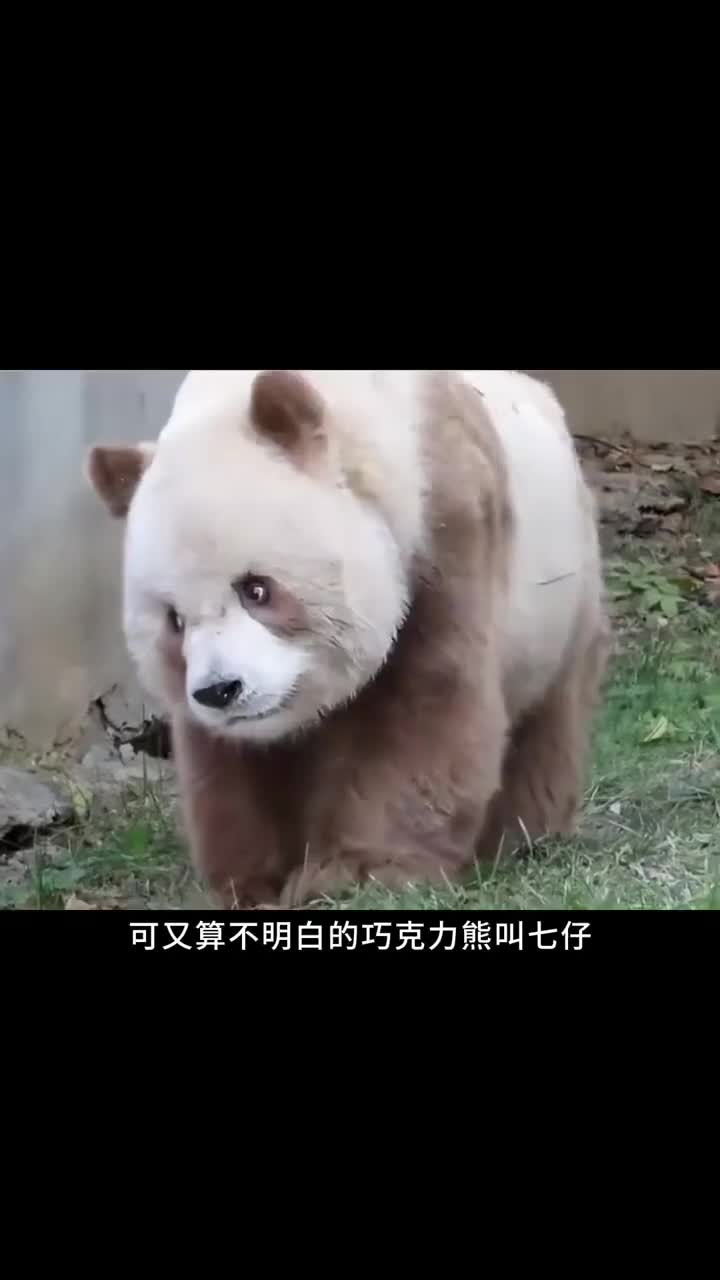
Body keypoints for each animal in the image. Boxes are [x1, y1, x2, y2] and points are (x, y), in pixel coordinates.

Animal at [87, 369, 609, 908]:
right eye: (174, 619)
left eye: (257, 588)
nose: (222, 690)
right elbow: (229, 762)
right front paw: (253, 884)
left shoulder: (448, 526)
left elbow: (425, 707)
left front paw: (356, 873)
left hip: (561, 594)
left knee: (548, 717)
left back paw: (522, 836)